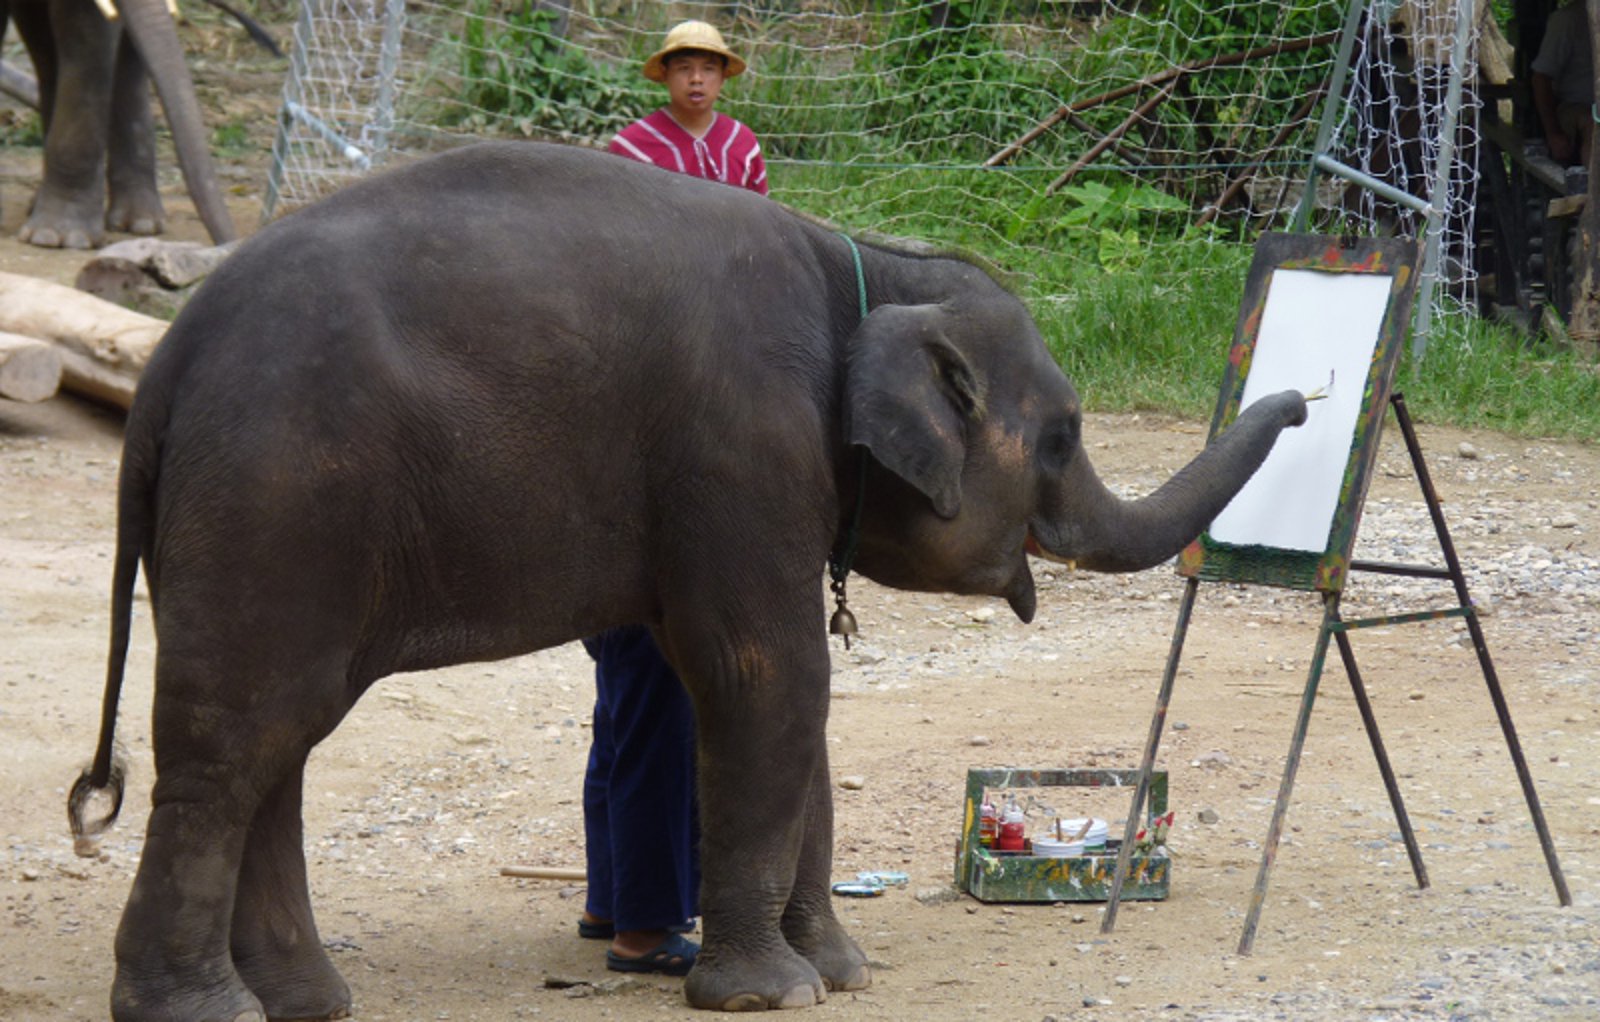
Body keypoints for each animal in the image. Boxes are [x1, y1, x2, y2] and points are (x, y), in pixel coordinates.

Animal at [0, 0, 237, 248]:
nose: (228, 242)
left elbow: (88, 36)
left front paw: (63, 239)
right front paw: (51, 238)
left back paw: (140, 224)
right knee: (43, 47)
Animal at [67, 141, 1307, 1019]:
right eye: (1061, 437)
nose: (1305, 399)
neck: (864, 264)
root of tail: (167, 360)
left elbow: (789, 695)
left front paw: (841, 971)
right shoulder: (743, 445)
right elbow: (767, 673)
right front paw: (769, 992)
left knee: (281, 734)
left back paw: (307, 1001)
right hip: (276, 493)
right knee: (237, 738)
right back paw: (205, 1010)